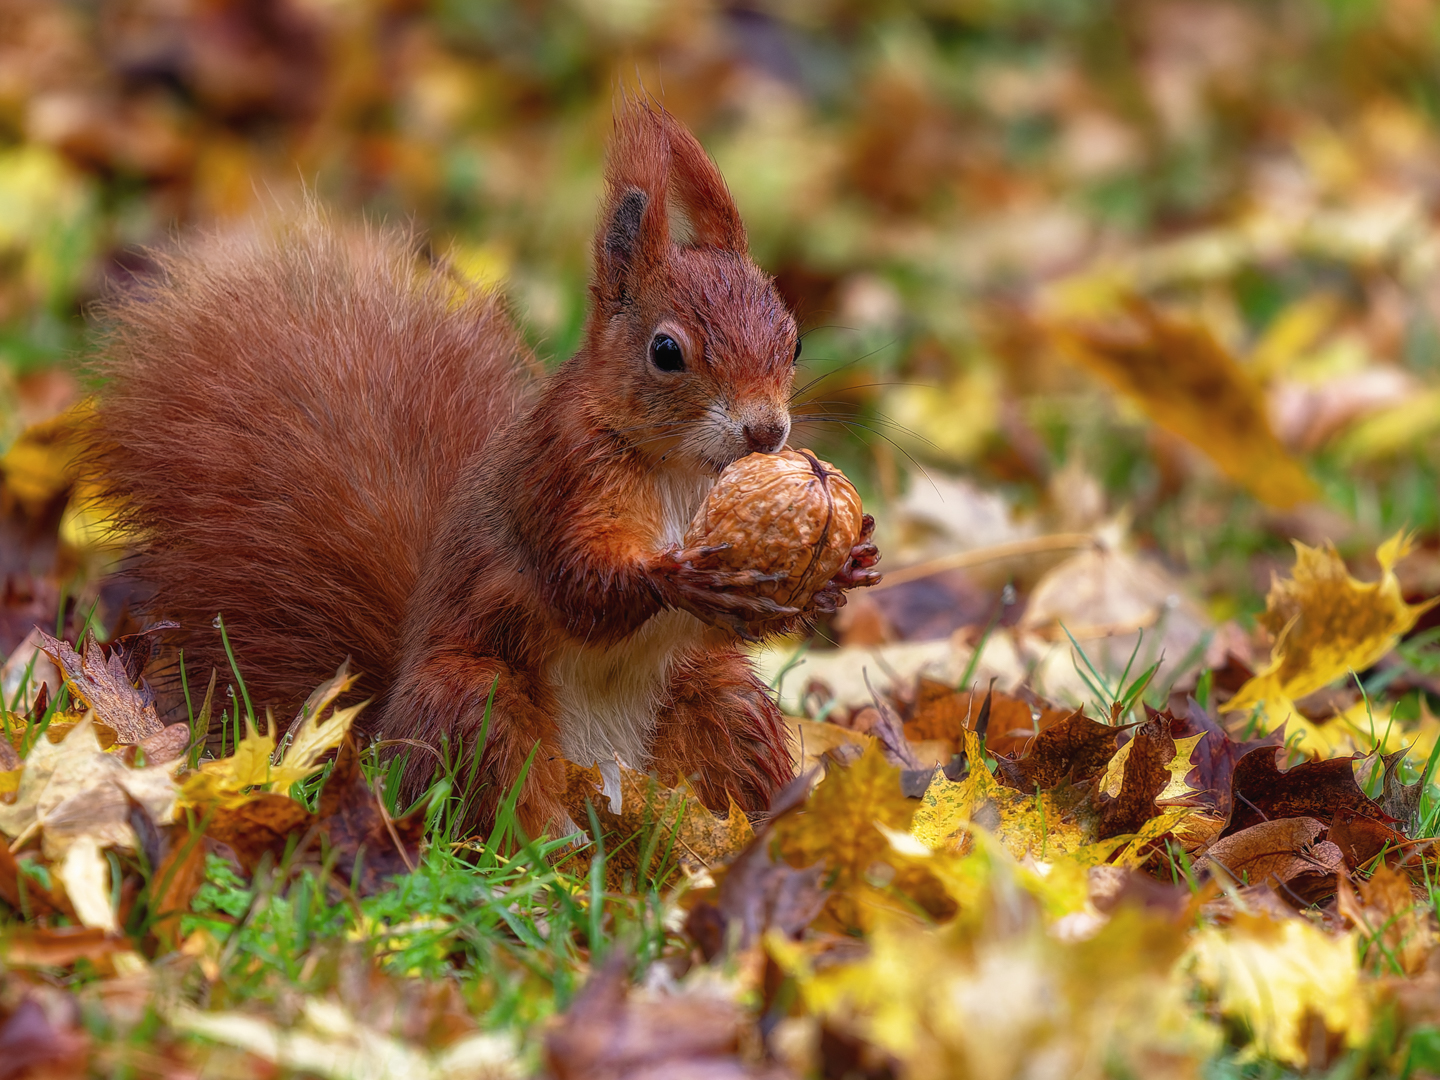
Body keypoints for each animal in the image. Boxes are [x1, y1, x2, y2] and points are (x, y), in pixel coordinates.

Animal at [92, 105, 875, 835]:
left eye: (793, 341)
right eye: (666, 352)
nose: (767, 431)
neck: (683, 468)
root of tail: (383, 740)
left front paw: (845, 567)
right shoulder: (559, 475)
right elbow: (579, 585)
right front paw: (675, 575)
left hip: (715, 701)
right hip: (478, 705)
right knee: (496, 808)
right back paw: (553, 853)